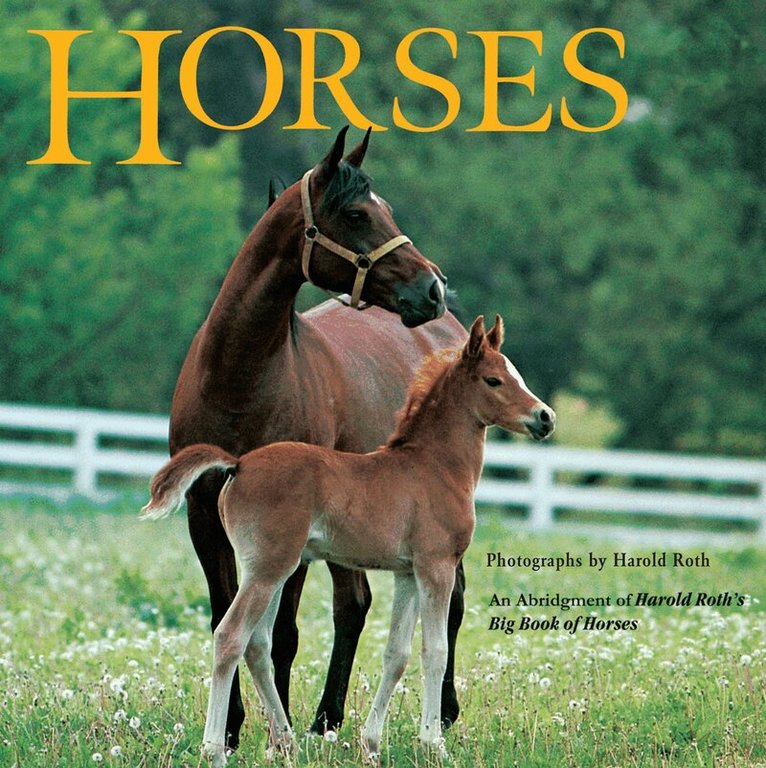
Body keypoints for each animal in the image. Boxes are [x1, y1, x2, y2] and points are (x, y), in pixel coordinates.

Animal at [143, 315, 556, 765]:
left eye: (516, 375)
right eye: (494, 379)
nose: (545, 417)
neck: (433, 465)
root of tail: (238, 464)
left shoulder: (407, 573)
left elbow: (396, 654)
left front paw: (371, 743)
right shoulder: (436, 565)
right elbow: (434, 651)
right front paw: (433, 744)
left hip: (271, 570)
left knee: (258, 646)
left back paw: (285, 742)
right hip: (269, 569)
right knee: (230, 637)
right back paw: (216, 749)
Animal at [170, 126, 467, 746]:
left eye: (386, 207)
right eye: (356, 214)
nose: (432, 288)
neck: (239, 379)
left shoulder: (292, 533)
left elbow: (281, 633)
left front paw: (272, 726)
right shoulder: (203, 516)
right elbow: (223, 617)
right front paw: (233, 728)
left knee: (445, 601)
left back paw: (442, 712)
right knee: (354, 603)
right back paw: (327, 717)